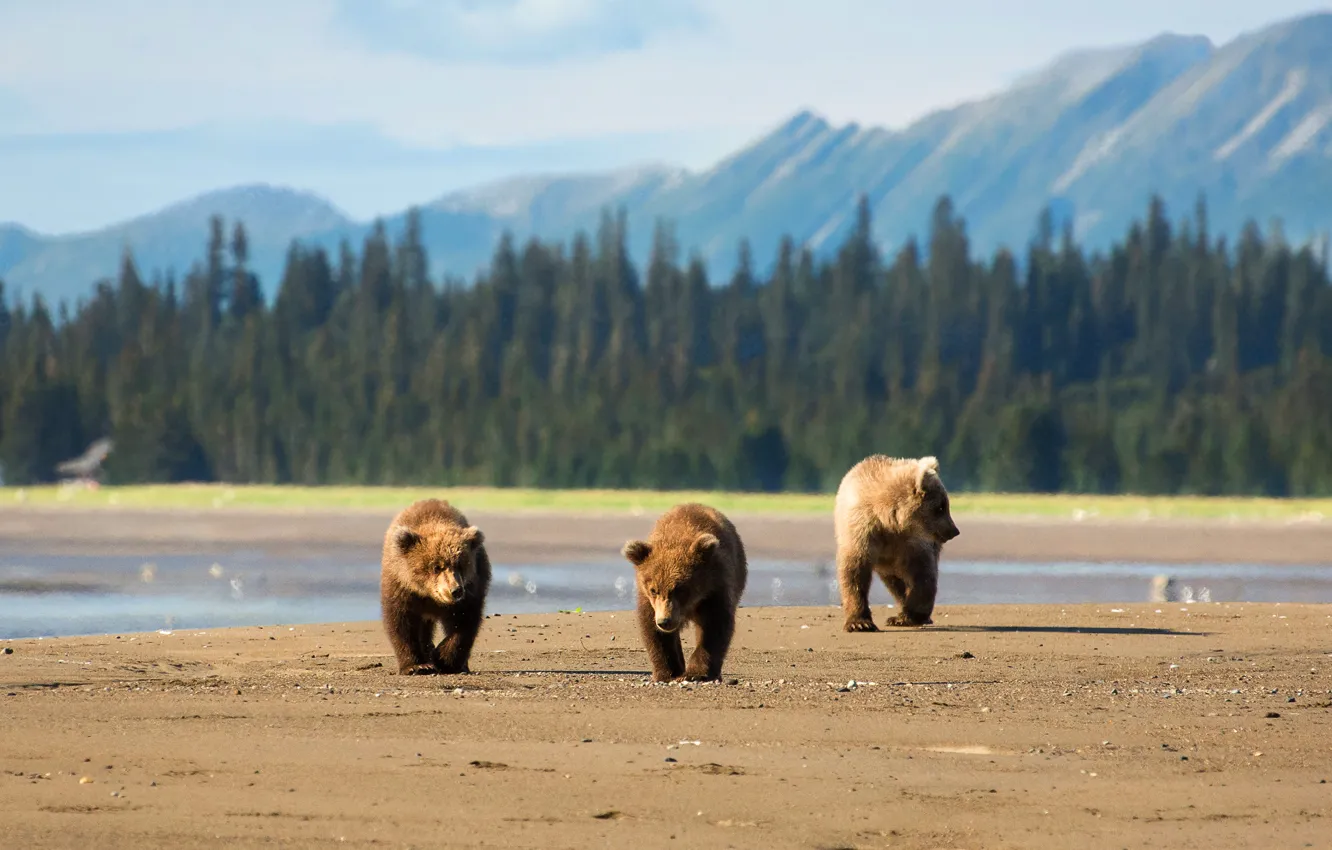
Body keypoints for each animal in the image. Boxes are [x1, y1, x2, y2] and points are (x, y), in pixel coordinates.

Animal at [380, 498, 492, 675]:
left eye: (460, 565)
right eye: (436, 567)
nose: (455, 590)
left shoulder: (471, 590)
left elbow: (464, 623)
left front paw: (443, 660)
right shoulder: (401, 586)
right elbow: (401, 622)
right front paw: (416, 665)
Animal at [620, 502, 748, 683]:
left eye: (680, 589)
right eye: (654, 590)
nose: (665, 621)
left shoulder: (714, 589)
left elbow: (714, 627)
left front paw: (697, 673)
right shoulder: (649, 601)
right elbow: (655, 632)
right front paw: (667, 672)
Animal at [834, 455, 960, 633]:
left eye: (946, 504)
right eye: (940, 507)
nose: (954, 530)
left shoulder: (914, 542)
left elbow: (923, 574)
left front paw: (909, 616)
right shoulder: (860, 531)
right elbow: (854, 572)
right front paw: (860, 623)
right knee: (893, 580)